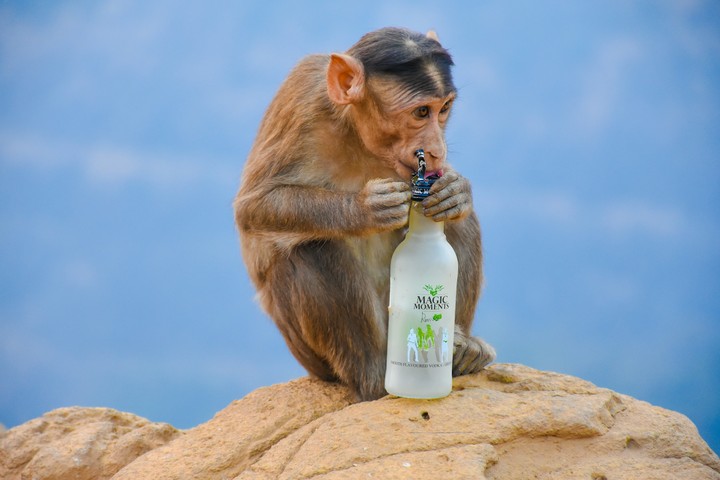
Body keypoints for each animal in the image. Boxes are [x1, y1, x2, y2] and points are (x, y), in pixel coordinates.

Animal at [234, 27, 495, 401]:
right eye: (421, 112)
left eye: (444, 109)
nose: (436, 149)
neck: (358, 135)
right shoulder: (302, 98)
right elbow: (254, 206)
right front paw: (365, 208)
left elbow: (450, 202)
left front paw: (457, 191)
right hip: (315, 359)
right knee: (313, 248)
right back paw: (375, 379)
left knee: (461, 225)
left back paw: (463, 351)